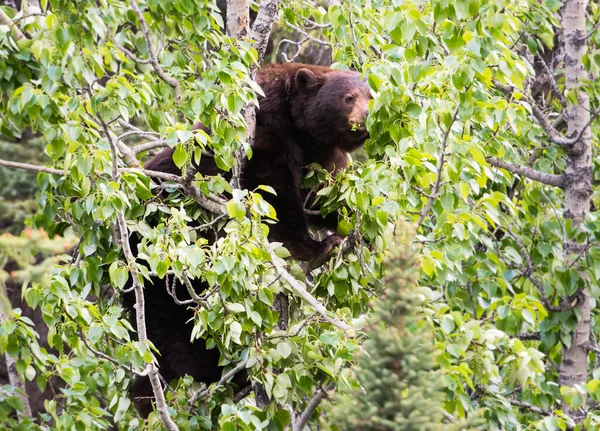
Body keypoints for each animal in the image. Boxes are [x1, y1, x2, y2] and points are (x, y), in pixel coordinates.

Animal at [126, 62, 370, 416]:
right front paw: (314, 246)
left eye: (371, 94)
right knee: (174, 327)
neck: (302, 127)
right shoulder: (264, 130)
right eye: (349, 97)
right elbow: (273, 191)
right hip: (158, 263)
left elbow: (325, 193)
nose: (366, 117)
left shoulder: (323, 153)